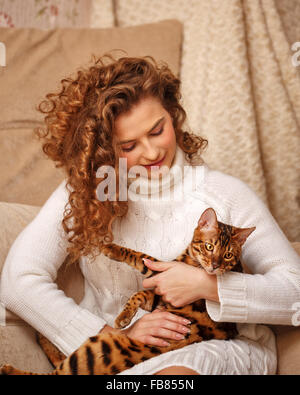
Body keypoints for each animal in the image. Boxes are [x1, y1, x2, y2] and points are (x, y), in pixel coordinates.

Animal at [1, 209, 254, 376]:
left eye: (228, 255)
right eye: (209, 247)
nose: (215, 266)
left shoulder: (160, 273)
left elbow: (137, 255)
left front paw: (110, 248)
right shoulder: (158, 292)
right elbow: (138, 294)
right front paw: (125, 317)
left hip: (92, 351)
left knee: (56, 373)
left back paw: (12, 366)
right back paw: (42, 338)